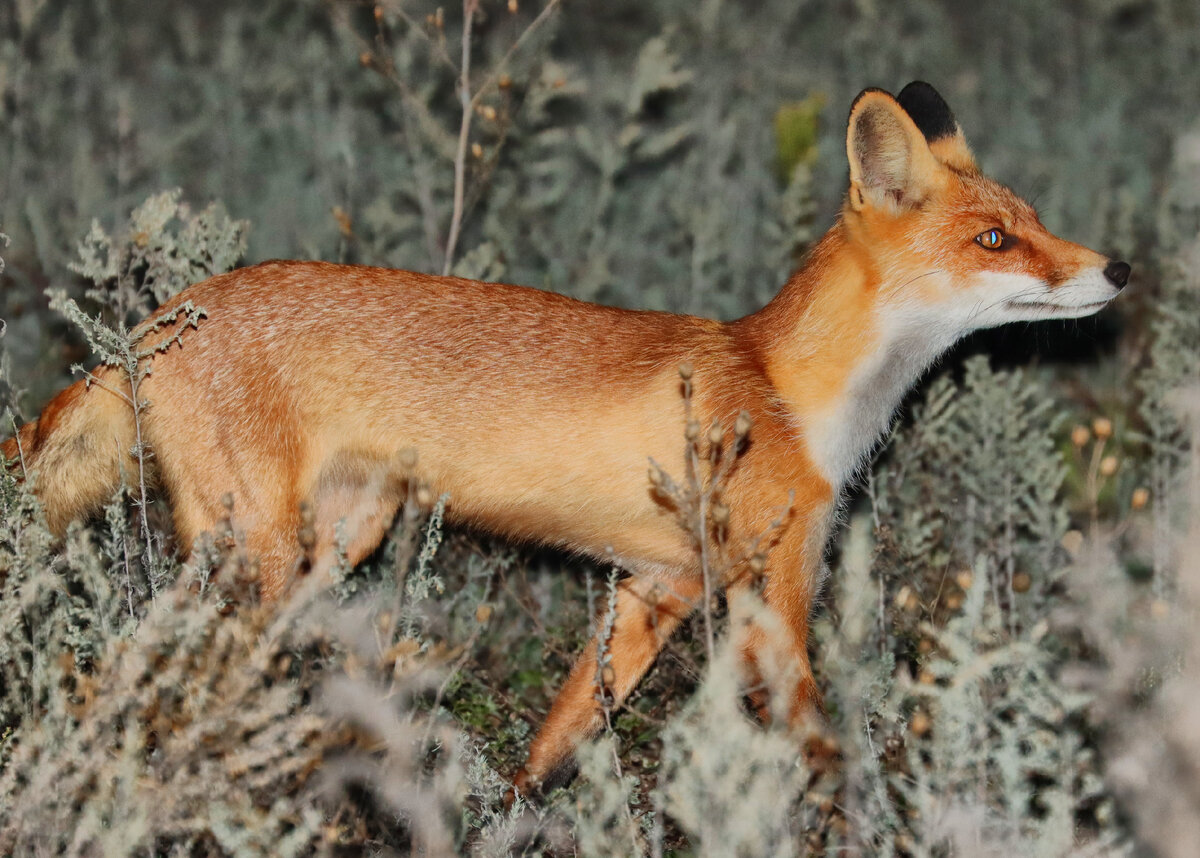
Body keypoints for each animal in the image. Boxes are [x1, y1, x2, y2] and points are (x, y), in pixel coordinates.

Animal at [2, 82, 1123, 796]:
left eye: (1032, 219)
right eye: (995, 240)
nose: (1118, 269)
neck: (786, 391)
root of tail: (158, 317)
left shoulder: (658, 587)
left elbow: (562, 739)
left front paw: (514, 814)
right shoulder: (773, 592)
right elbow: (818, 738)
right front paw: (862, 813)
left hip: (344, 540)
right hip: (255, 559)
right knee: (145, 670)